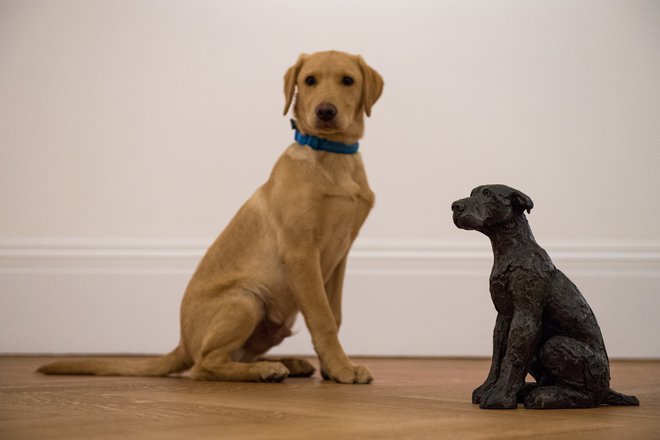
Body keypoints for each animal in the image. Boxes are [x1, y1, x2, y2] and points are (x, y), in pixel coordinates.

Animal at [37, 49, 382, 384]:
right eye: (310, 80)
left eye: (348, 81)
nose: (325, 112)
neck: (332, 155)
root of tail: (183, 343)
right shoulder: (301, 253)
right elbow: (322, 318)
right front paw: (342, 368)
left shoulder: (339, 257)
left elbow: (334, 315)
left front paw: (333, 367)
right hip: (245, 300)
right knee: (204, 366)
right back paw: (264, 371)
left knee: (231, 356)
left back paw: (287, 363)